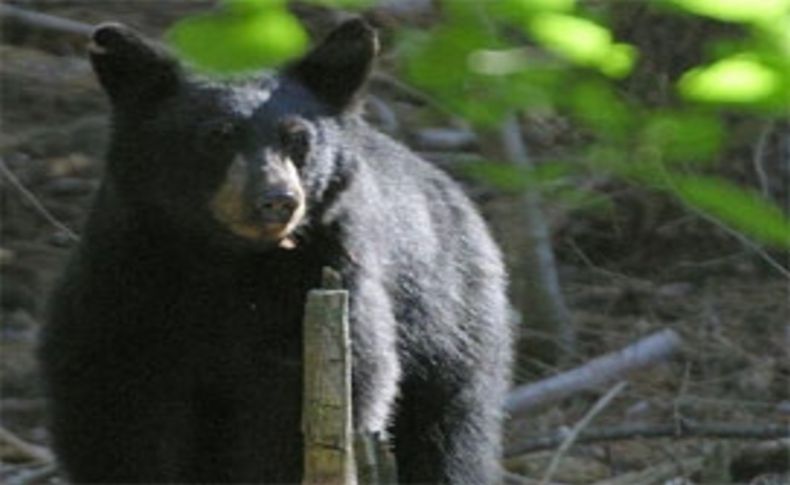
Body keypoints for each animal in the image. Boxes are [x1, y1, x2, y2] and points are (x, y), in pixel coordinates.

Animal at [41, 18, 512, 484]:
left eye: (298, 139)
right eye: (217, 136)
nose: (277, 199)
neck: (224, 259)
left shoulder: (325, 275)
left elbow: (310, 397)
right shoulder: (124, 275)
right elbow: (111, 400)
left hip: (451, 328)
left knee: (449, 440)